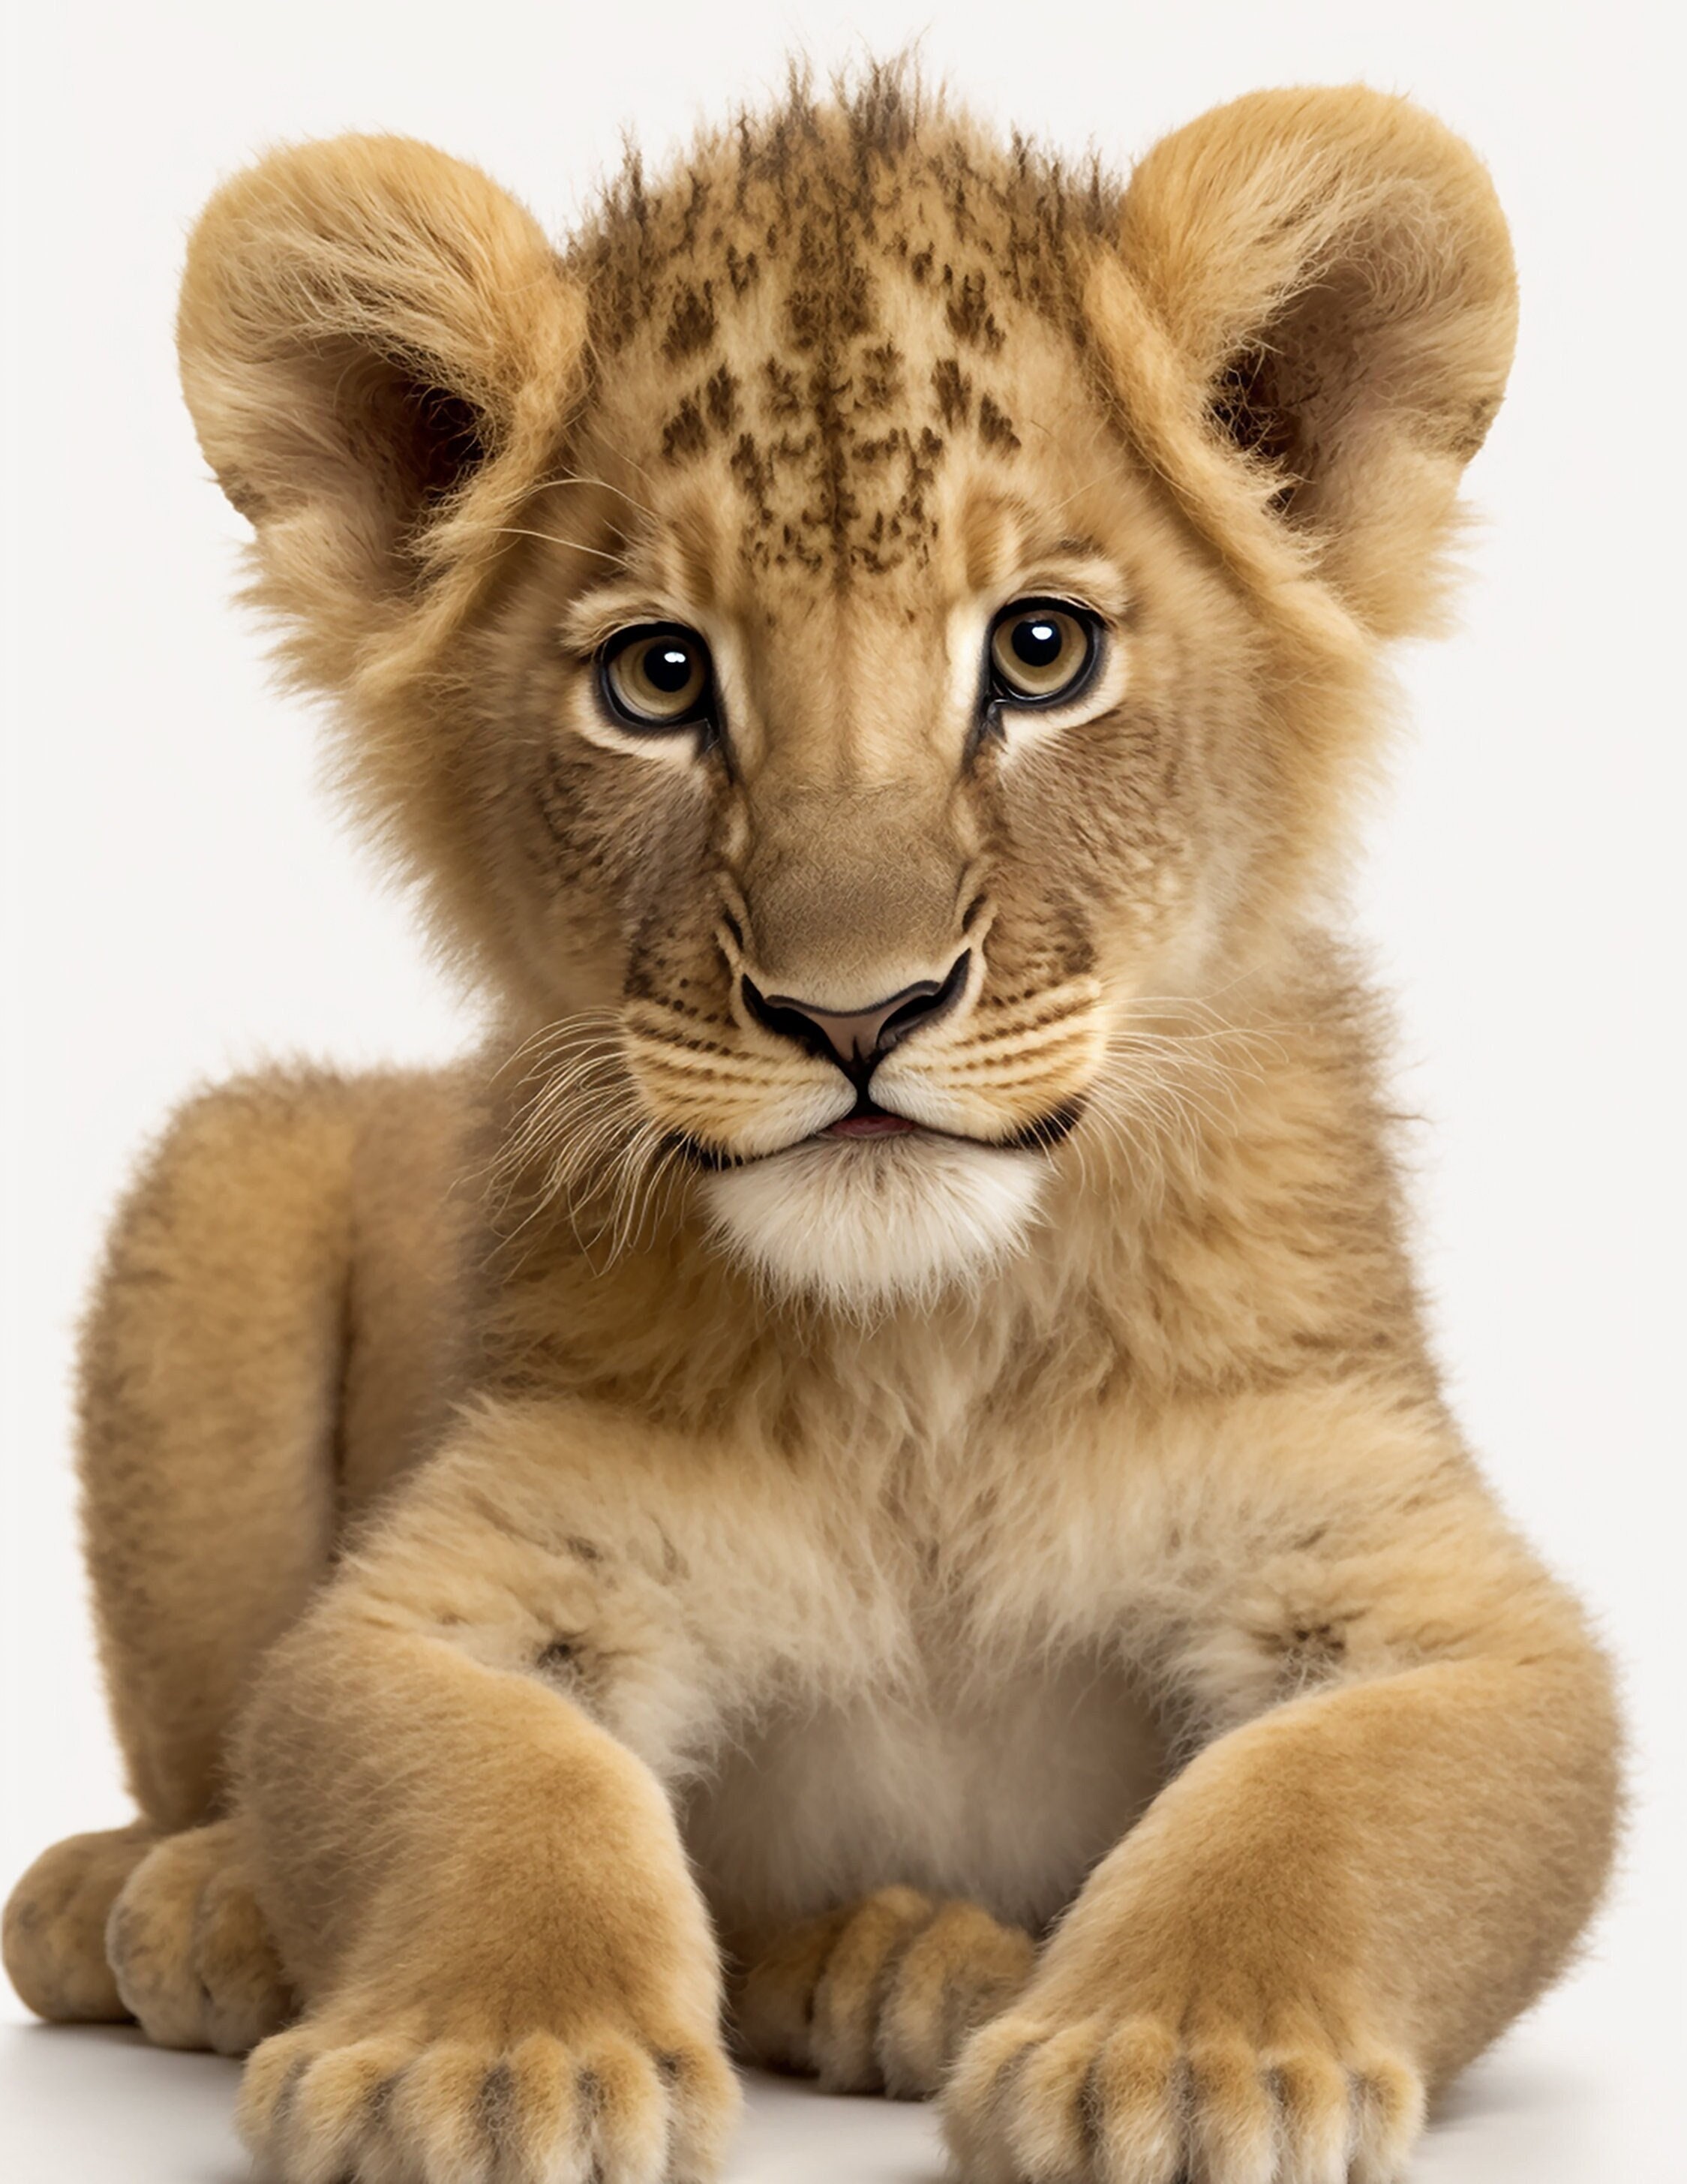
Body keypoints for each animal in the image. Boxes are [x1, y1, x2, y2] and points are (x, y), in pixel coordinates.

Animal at [3, 65, 1620, 2184]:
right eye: (656, 677)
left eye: (1038, 651)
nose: (856, 1011)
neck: (926, 1361)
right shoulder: (474, 1568)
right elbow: (473, 1778)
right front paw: (488, 2056)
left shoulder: (1410, 1567)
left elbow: (1328, 1801)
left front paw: (1178, 2050)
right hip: (231, 1177)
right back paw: (184, 1896)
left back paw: (904, 1959)